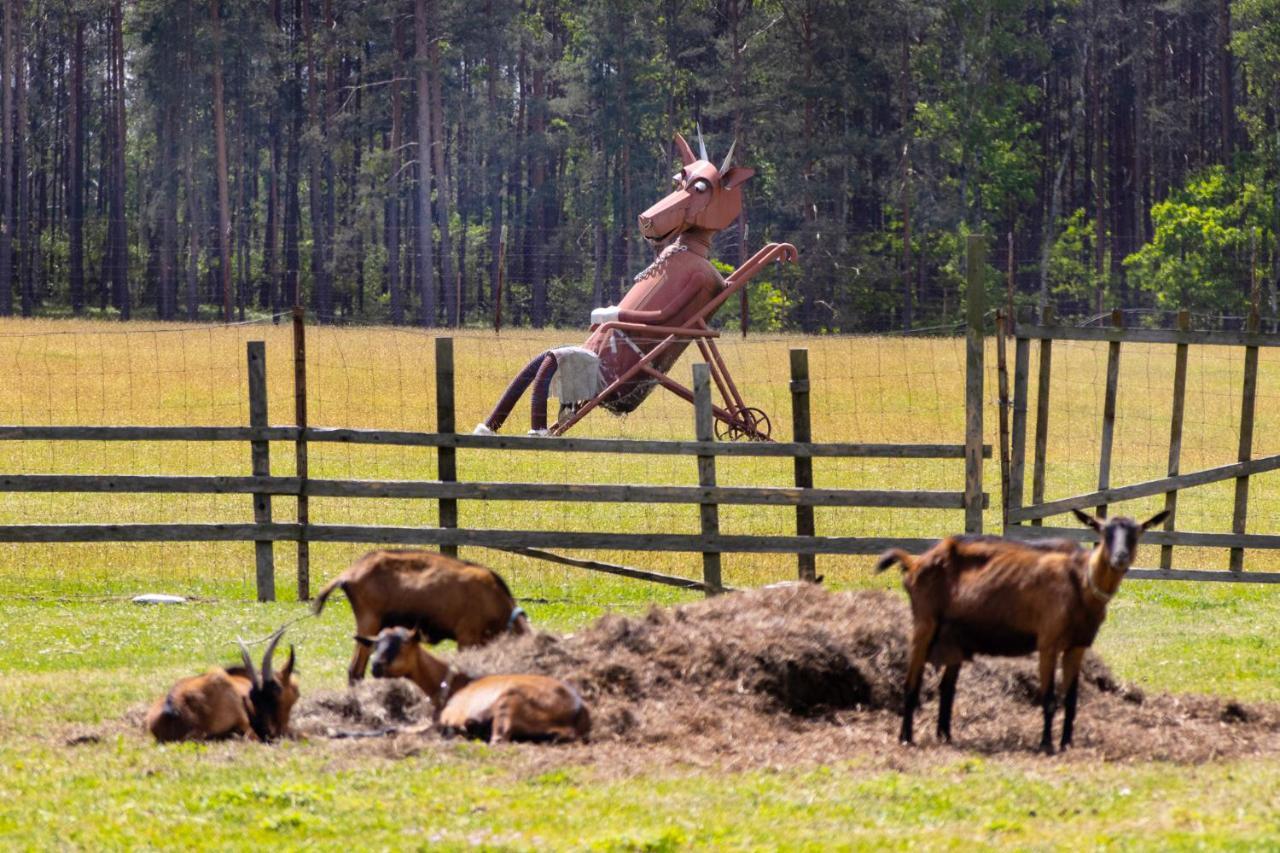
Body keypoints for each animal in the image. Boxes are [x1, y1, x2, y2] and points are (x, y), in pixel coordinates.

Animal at [358, 622, 591, 742]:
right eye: (376, 644)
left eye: (405, 643)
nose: (376, 666)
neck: (451, 683)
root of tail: (576, 711)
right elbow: (392, 729)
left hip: (509, 702)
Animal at [875, 504, 1167, 753]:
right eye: (1105, 532)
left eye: (1137, 533)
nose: (1120, 558)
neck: (1080, 582)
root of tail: (914, 562)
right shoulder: (1048, 642)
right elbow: (1049, 699)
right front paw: (1046, 744)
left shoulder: (1077, 646)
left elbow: (1071, 701)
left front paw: (1067, 744)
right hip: (924, 624)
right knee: (911, 683)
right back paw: (906, 738)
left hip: (954, 637)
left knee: (947, 689)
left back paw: (945, 736)